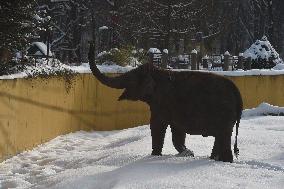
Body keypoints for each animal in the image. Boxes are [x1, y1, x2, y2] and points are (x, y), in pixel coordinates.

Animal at [88, 42, 242, 162]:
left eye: (130, 79)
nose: (92, 42)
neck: (158, 71)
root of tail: (237, 92)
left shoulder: (162, 102)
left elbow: (157, 125)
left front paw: (155, 156)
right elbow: (177, 131)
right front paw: (188, 153)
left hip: (223, 113)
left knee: (223, 137)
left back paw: (224, 161)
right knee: (220, 138)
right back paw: (213, 159)